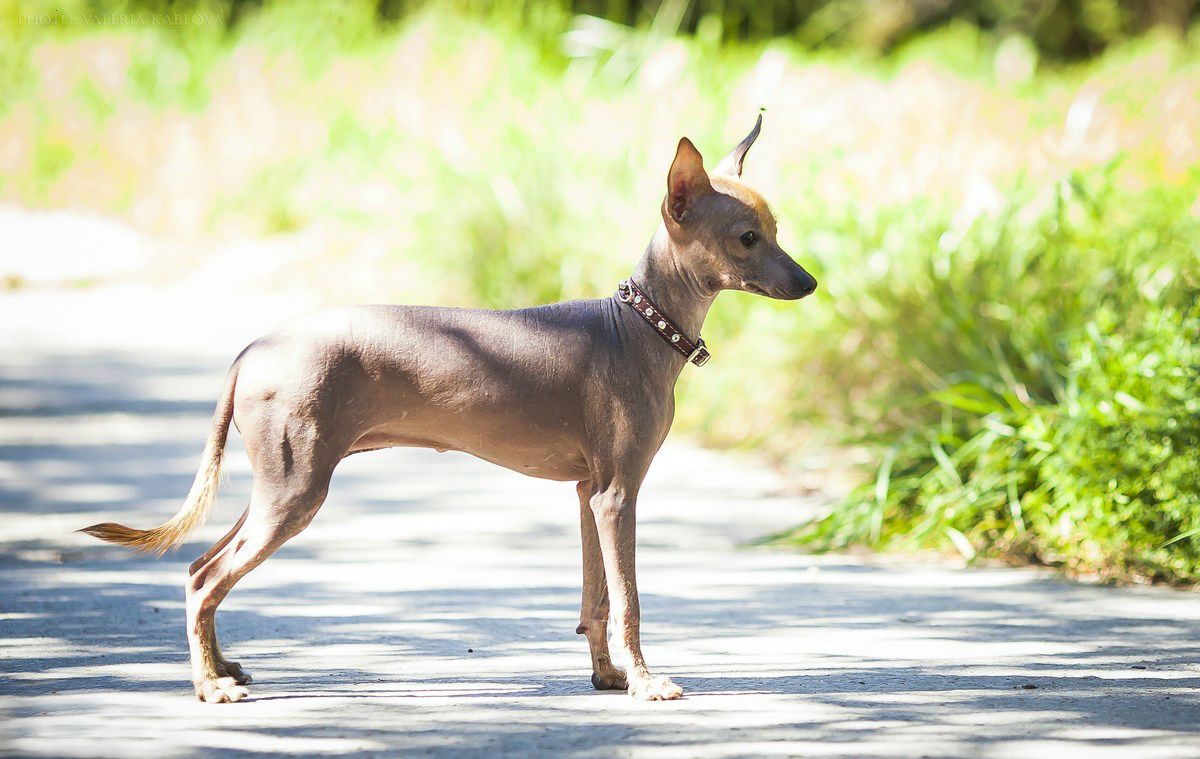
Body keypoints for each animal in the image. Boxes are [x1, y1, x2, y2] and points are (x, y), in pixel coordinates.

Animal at [82, 115, 816, 701]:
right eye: (748, 238)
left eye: (776, 229)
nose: (811, 283)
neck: (639, 325)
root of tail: (253, 349)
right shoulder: (617, 496)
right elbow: (630, 599)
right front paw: (644, 682)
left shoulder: (589, 494)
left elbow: (597, 599)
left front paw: (608, 676)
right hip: (295, 490)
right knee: (206, 578)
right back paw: (210, 686)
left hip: (282, 485)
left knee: (200, 566)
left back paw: (222, 667)